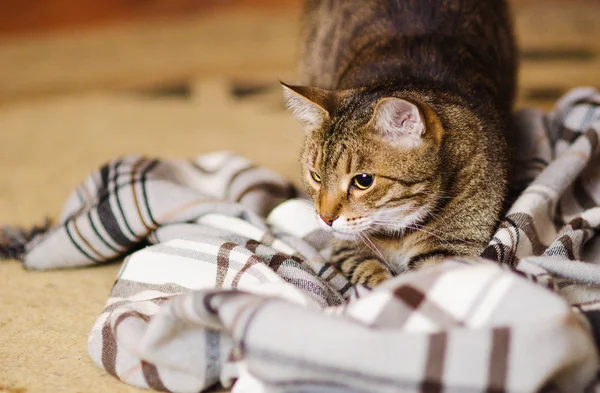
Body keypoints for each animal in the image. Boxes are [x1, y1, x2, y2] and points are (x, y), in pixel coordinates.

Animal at [282, 0, 516, 286]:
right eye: (316, 176)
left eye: (363, 180)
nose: (326, 219)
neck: (398, 233)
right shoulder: (348, 247)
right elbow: (371, 273)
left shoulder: (454, 247)